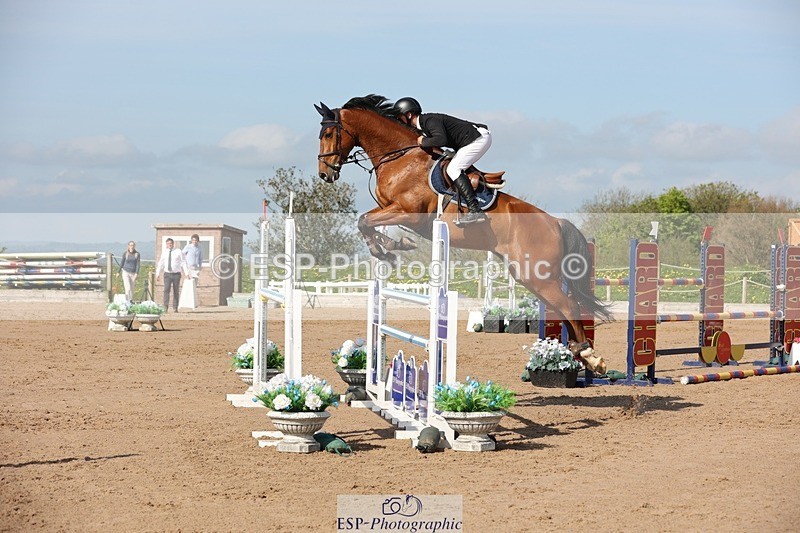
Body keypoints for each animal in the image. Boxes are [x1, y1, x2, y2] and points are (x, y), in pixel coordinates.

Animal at [315, 94, 611, 373]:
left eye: (328, 135)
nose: (324, 174)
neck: (400, 157)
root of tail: (556, 223)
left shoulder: (409, 213)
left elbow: (365, 221)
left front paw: (392, 247)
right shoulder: (388, 207)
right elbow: (364, 221)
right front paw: (388, 249)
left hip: (538, 275)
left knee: (570, 305)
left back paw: (590, 356)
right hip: (530, 275)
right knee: (563, 307)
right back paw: (578, 352)